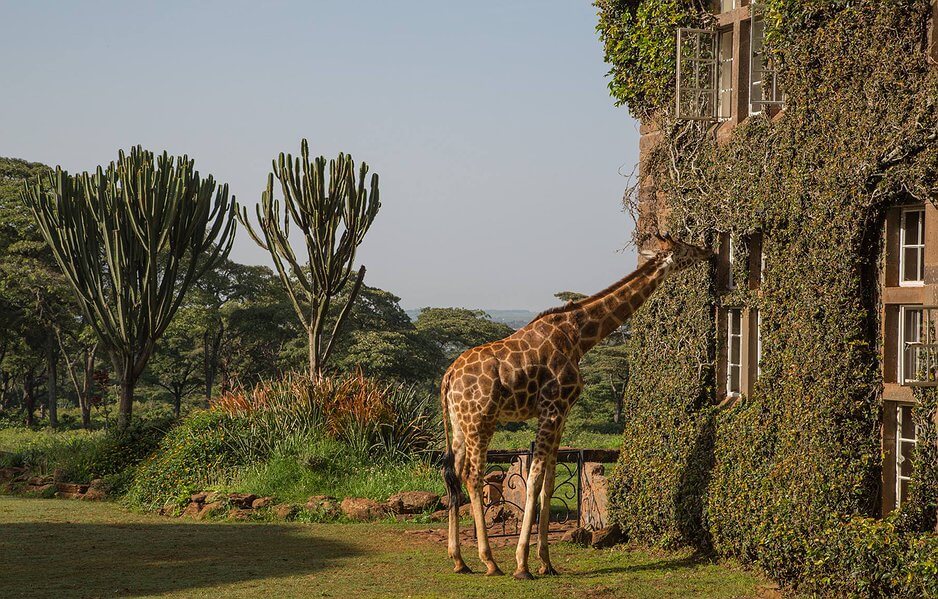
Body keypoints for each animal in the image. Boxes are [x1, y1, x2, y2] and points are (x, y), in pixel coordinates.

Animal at [440, 233, 713, 579]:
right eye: (687, 248)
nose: (709, 252)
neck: (580, 337)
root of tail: (448, 377)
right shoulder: (552, 407)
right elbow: (534, 480)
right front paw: (522, 564)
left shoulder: (562, 413)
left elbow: (550, 482)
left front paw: (546, 562)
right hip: (482, 419)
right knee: (473, 476)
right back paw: (489, 561)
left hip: (459, 423)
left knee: (452, 474)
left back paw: (459, 560)